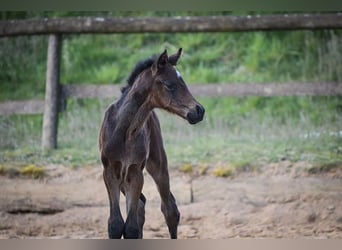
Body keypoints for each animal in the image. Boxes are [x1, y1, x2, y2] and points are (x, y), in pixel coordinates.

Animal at [99, 47, 206, 238]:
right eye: (169, 84)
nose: (199, 111)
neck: (124, 131)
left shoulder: (135, 171)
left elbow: (131, 227)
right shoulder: (110, 171)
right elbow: (116, 224)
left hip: (157, 164)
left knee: (169, 209)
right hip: (123, 178)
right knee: (141, 205)